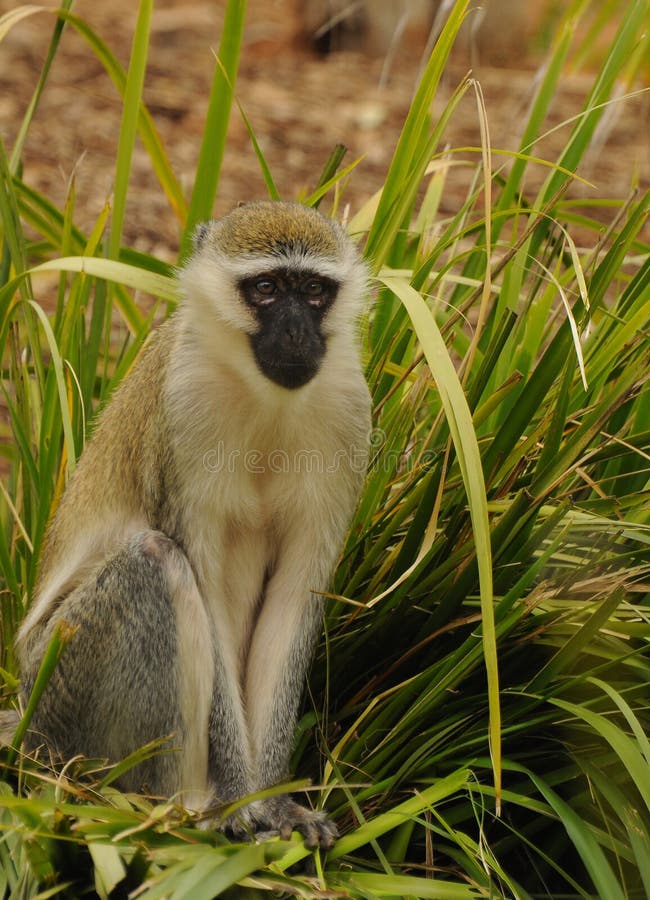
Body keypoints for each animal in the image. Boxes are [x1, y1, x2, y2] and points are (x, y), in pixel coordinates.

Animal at [16, 200, 371, 849]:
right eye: (264, 288)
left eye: (313, 291)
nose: (295, 334)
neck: (264, 399)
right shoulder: (181, 414)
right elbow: (205, 593)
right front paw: (238, 800)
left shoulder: (348, 415)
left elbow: (292, 602)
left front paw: (273, 802)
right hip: (56, 695)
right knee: (156, 563)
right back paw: (188, 808)